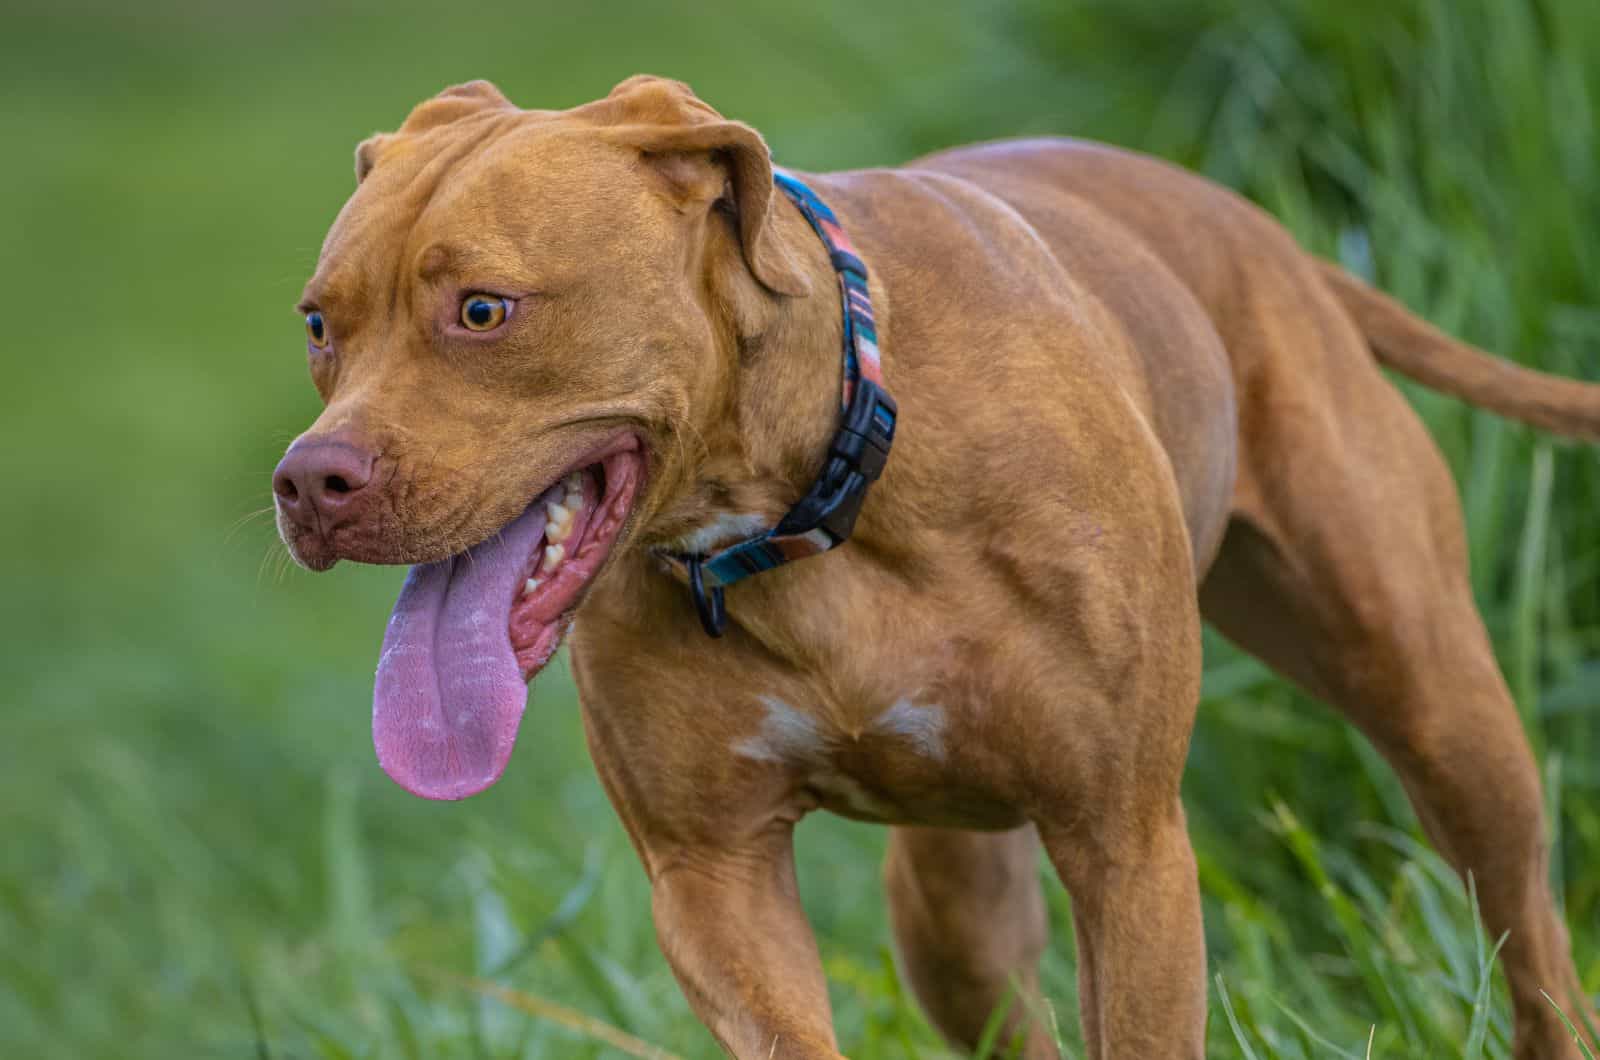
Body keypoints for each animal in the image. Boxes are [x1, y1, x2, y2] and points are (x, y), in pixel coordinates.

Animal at [278, 76, 1600, 1060]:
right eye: (318, 324)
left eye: (483, 311)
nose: (309, 482)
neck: (809, 507)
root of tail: (1258, 232)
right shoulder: (712, 876)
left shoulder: (1126, 846)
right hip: (950, 910)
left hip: (1440, 710)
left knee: (1524, 925)